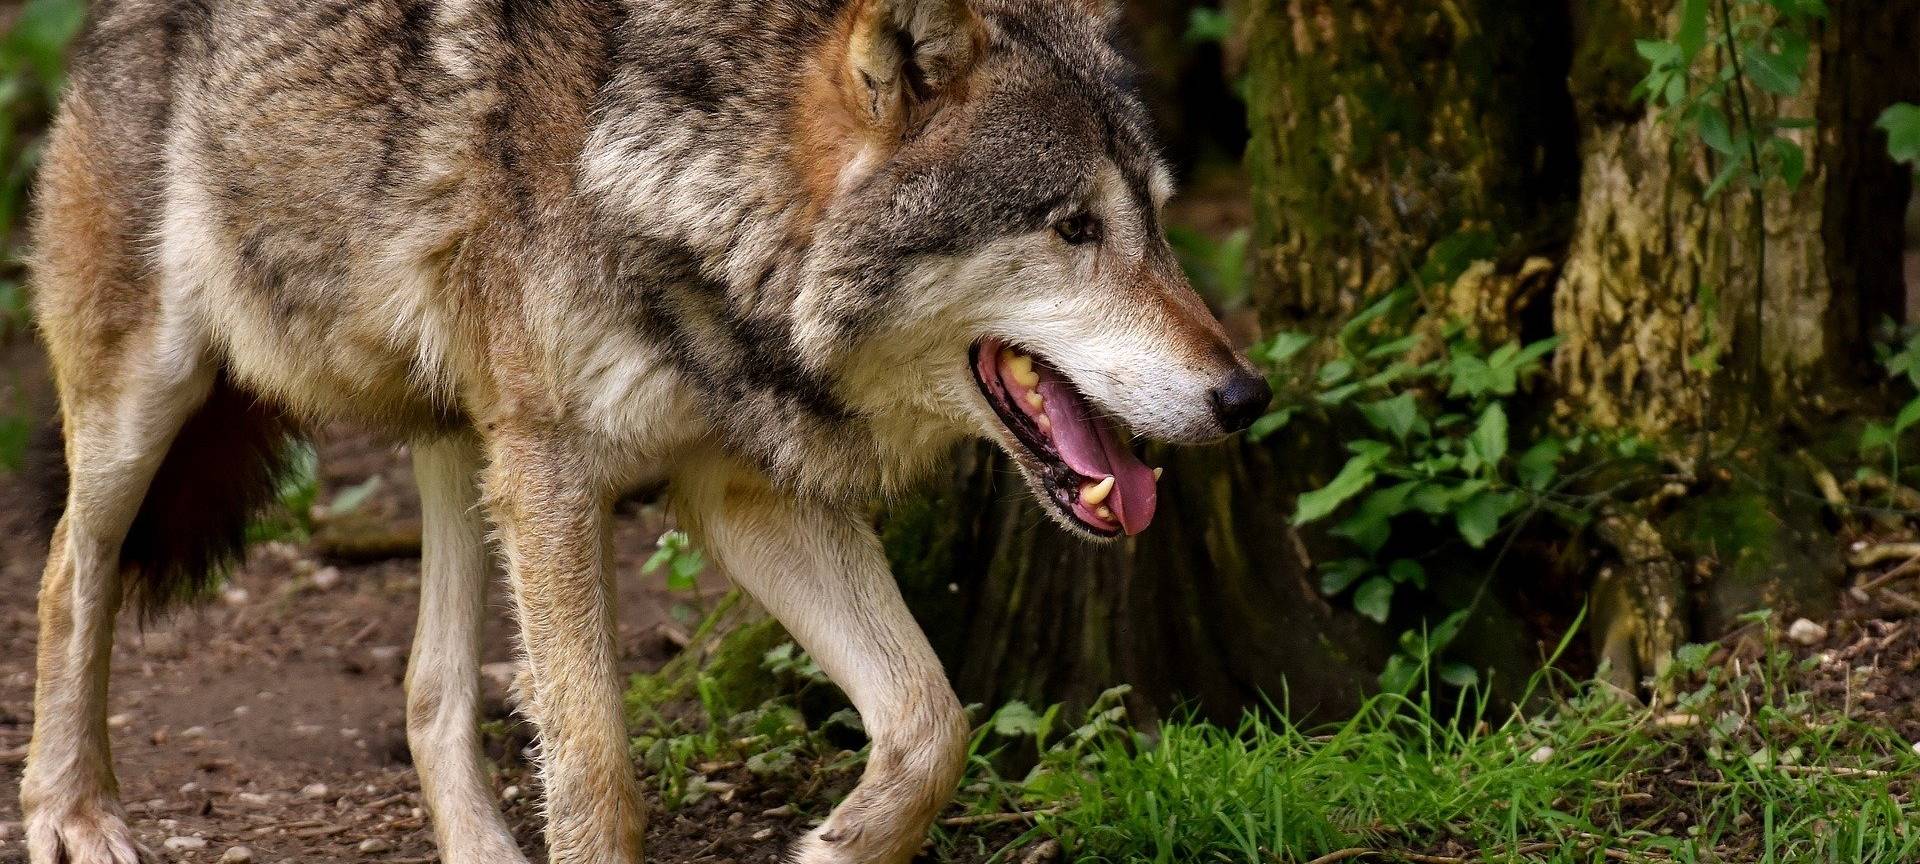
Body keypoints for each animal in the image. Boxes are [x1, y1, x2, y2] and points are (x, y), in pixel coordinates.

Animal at [19, 0, 1271, 861]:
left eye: (1158, 223)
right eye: (1073, 227)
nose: (1246, 397)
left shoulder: (738, 492)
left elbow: (932, 724)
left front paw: (832, 848)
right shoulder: (560, 475)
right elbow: (598, 775)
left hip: (465, 442)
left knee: (429, 691)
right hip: (153, 396)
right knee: (69, 575)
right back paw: (74, 814)